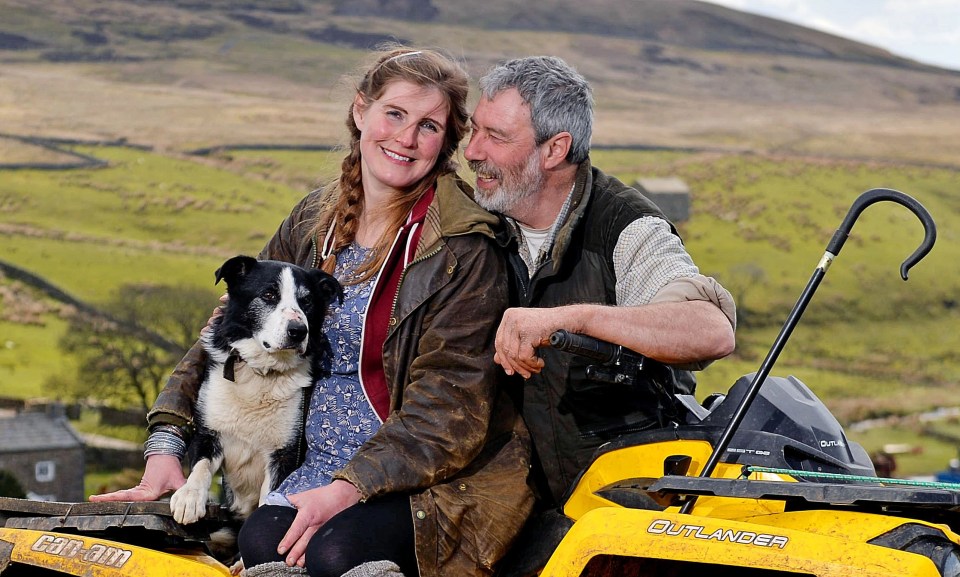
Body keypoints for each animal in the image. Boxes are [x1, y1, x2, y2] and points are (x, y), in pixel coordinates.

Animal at [172, 256, 342, 528]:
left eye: (306, 301)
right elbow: (201, 466)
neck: (262, 373)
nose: (298, 331)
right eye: (269, 295)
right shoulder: (208, 433)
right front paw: (189, 496)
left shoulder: (284, 456)